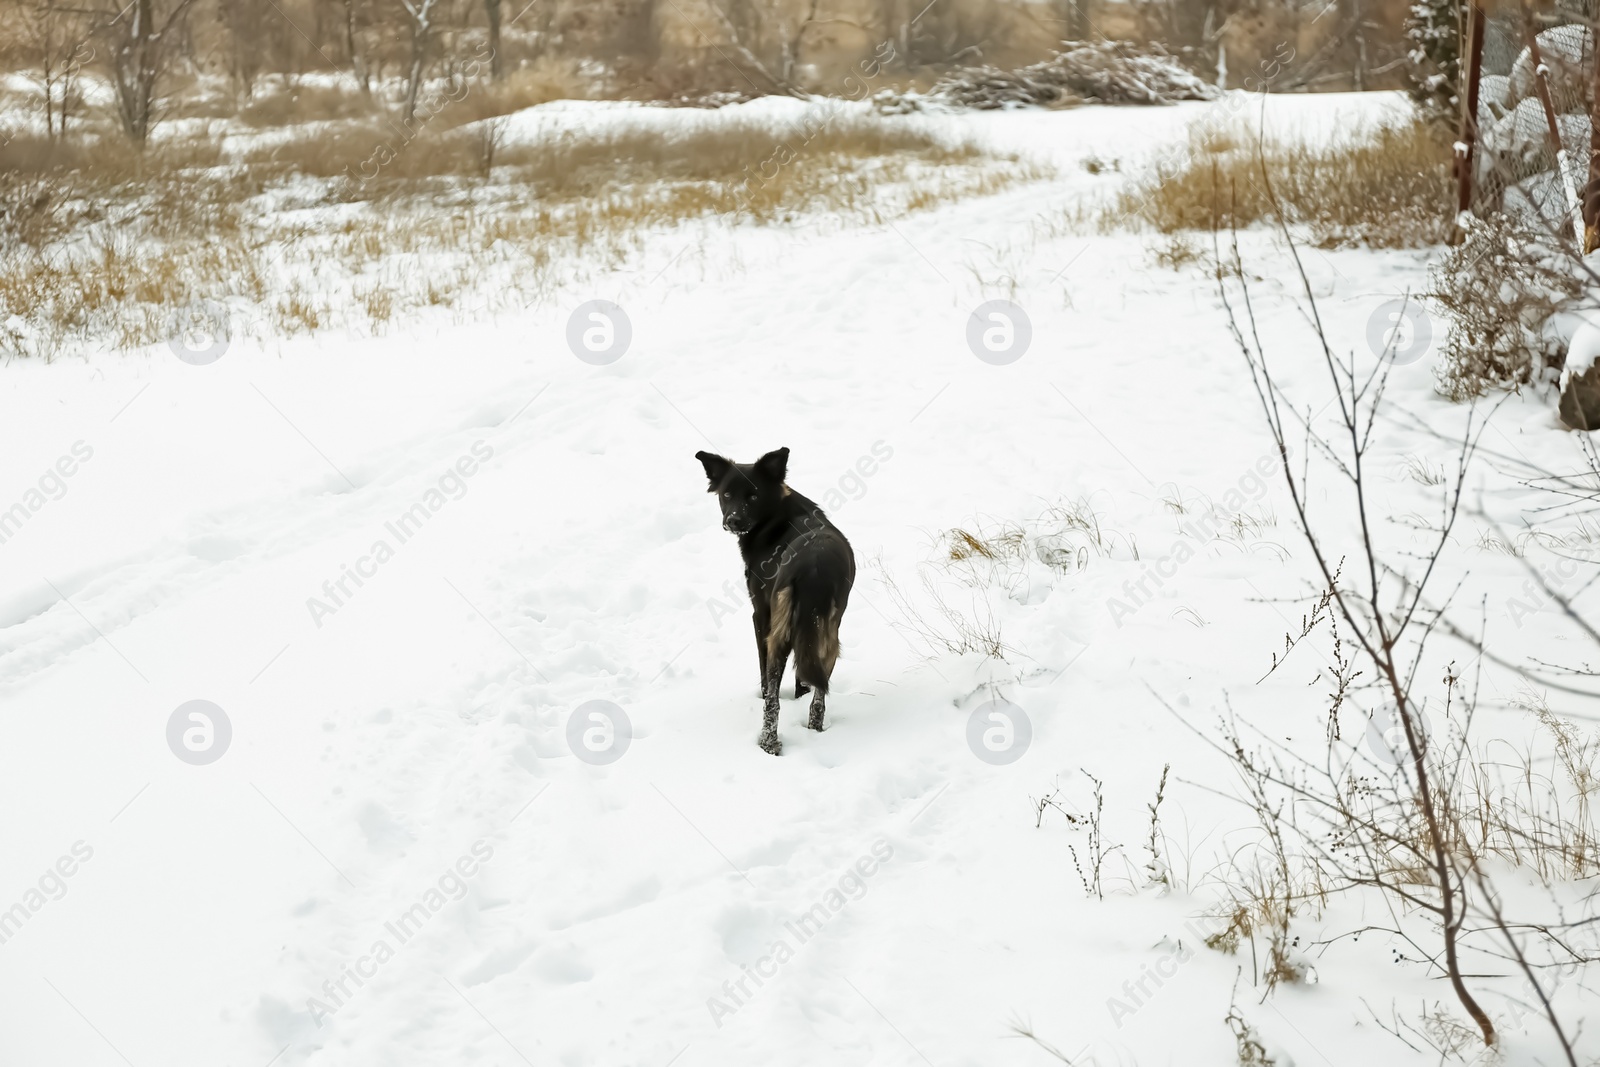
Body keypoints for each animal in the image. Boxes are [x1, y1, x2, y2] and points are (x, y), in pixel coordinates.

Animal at [694, 447, 857, 755]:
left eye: (753, 496)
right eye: (727, 494)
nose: (733, 521)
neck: (775, 517)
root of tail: (813, 570)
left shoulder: (761, 614)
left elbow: (765, 681)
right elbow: (803, 680)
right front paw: (800, 696)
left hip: (778, 635)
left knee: (773, 702)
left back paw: (767, 743)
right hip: (829, 636)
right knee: (819, 695)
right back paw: (813, 729)